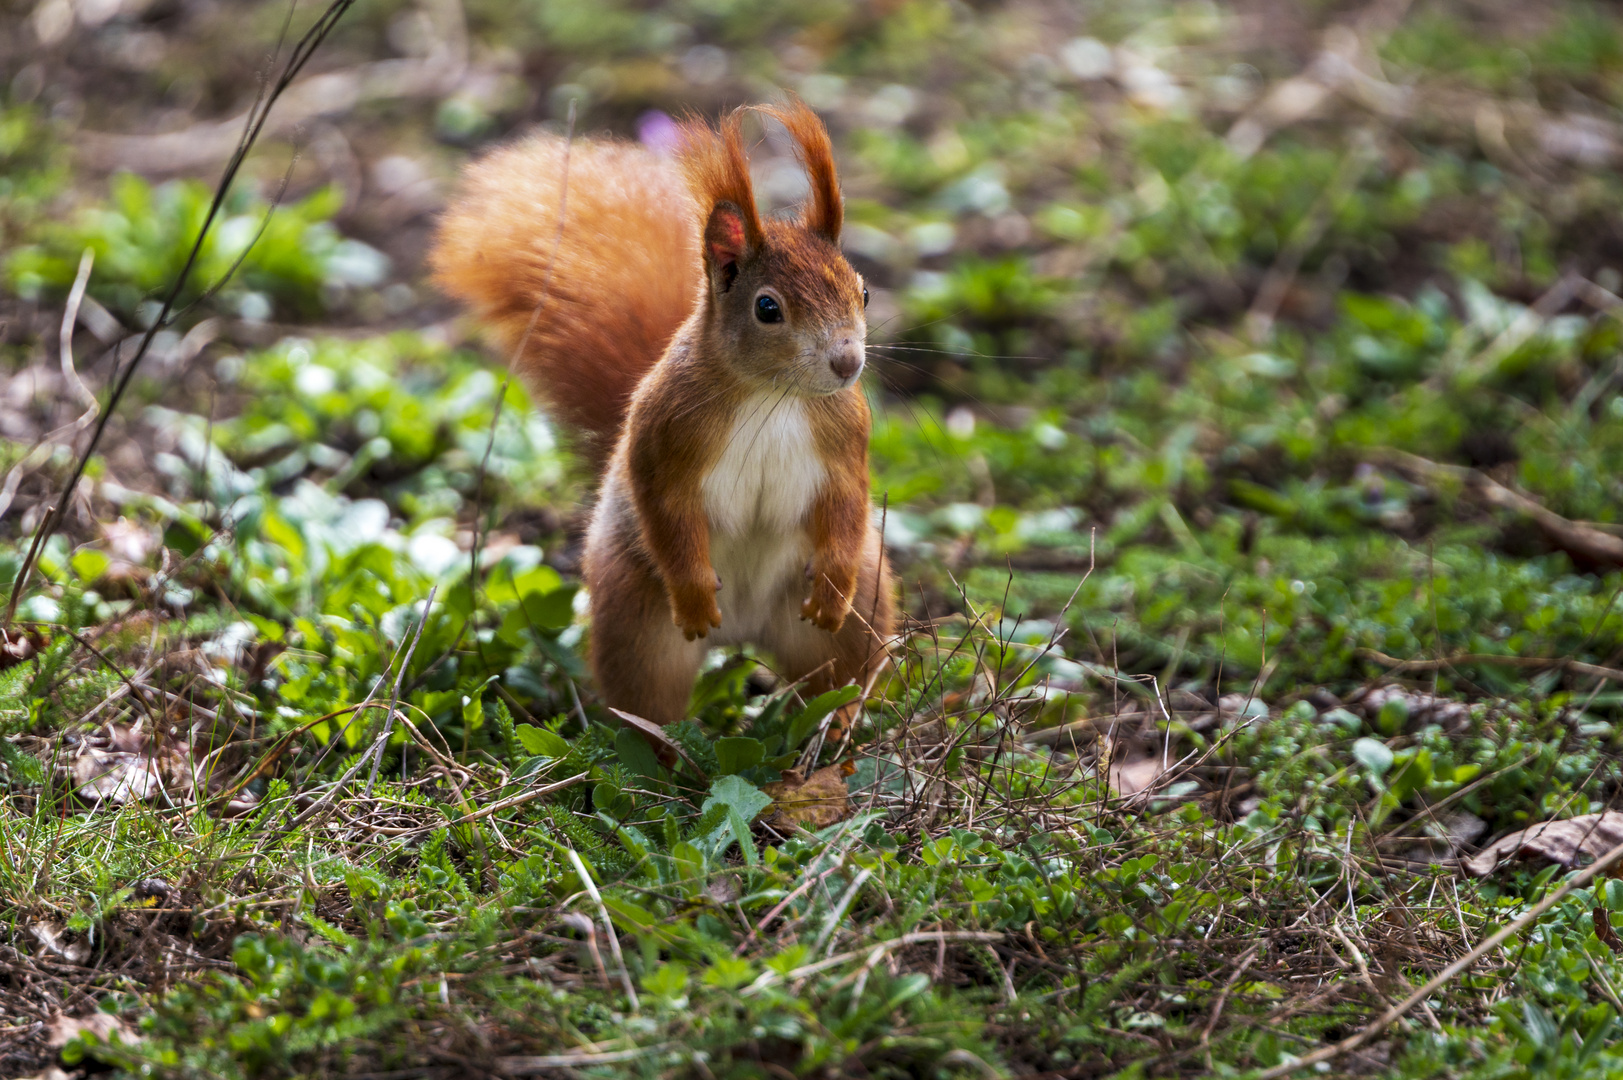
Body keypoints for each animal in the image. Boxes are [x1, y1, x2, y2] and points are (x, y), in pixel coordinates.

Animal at [431, 101, 895, 727]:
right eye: (767, 308)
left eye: (863, 292)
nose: (847, 362)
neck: (771, 396)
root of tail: (743, 633)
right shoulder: (664, 435)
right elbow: (668, 513)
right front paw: (696, 596)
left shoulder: (846, 437)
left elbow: (846, 504)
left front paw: (832, 589)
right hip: (636, 619)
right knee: (648, 704)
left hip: (852, 619)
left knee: (834, 681)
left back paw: (834, 733)